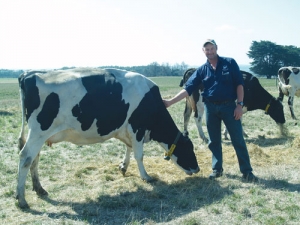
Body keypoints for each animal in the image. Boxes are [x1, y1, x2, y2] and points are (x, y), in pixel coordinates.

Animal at [17, 67, 199, 208]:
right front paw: (146, 177)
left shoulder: (128, 130)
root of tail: (29, 73)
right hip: (39, 132)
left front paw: (123, 167)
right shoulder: (137, 128)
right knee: (25, 157)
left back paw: (39, 189)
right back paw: (21, 199)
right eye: (189, 149)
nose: (197, 169)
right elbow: (139, 155)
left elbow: (129, 148)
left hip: (39, 135)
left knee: (34, 158)